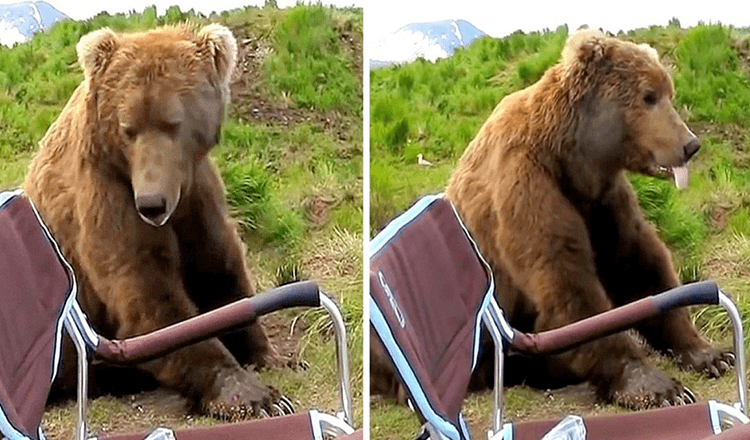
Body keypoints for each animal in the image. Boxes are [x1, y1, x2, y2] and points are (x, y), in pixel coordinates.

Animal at [25, 23, 282, 416]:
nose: (151, 203)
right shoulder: (107, 195)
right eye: (128, 128)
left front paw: (266, 353)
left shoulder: (197, 196)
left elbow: (220, 269)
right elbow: (150, 298)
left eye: (173, 123)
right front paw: (251, 395)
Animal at [444, 30, 736, 410]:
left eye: (668, 92)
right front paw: (658, 386)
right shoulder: (527, 186)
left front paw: (710, 354)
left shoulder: (602, 200)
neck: (573, 157)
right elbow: (568, 280)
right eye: (649, 96)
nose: (690, 145)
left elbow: (639, 263)